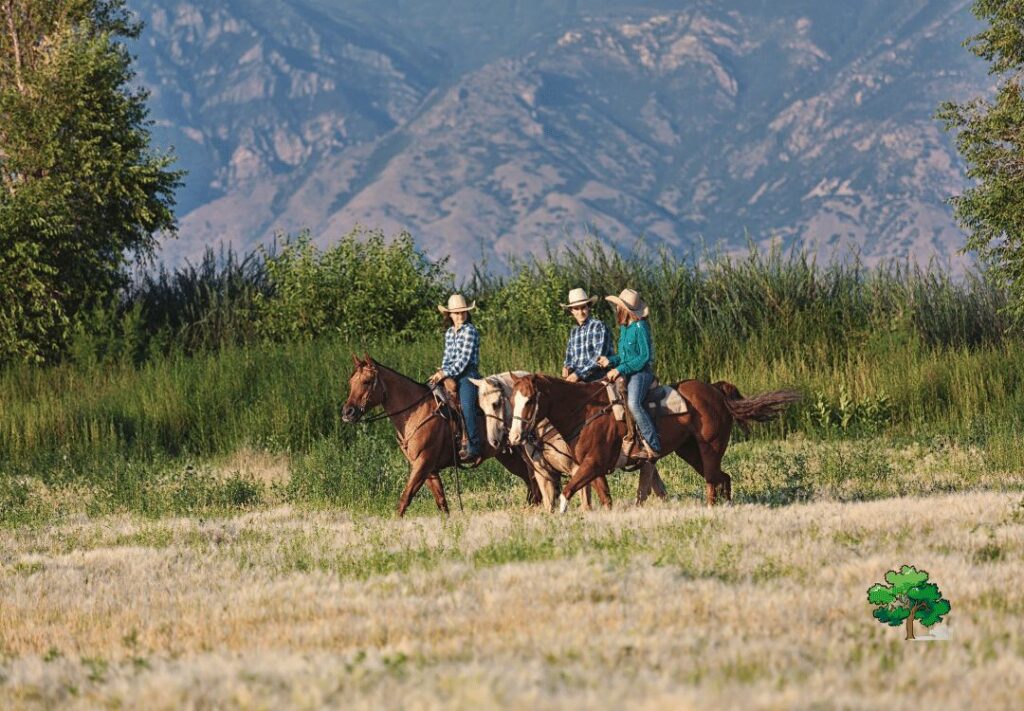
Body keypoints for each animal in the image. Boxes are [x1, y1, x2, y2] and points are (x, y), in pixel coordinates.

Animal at [342, 356, 552, 518]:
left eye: (367, 381)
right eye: (351, 382)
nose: (347, 412)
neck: (416, 411)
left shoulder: (423, 464)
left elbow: (405, 498)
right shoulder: (428, 469)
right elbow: (441, 501)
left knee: (535, 479)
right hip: (508, 456)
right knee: (531, 482)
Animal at [468, 377, 667, 510]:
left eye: (496, 403)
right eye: (480, 407)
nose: (510, 438)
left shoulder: (579, 468)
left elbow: (585, 502)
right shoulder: (544, 474)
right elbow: (550, 505)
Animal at [505, 377, 798, 510]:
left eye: (529, 401)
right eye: (512, 400)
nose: (513, 437)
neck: (586, 412)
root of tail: (715, 390)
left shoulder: (592, 464)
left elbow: (568, 491)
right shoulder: (593, 467)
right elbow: (604, 497)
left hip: (710, 448)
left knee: (713, 480)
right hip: (689, 451)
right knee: (722, 477)